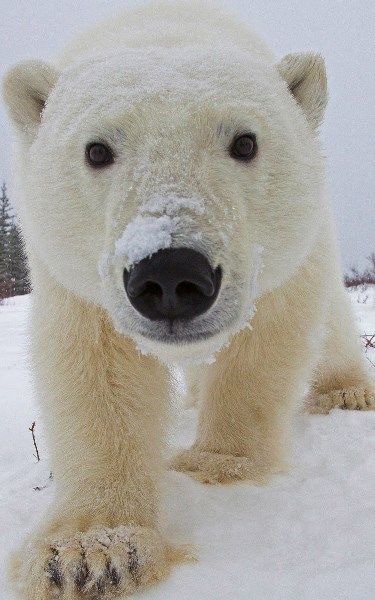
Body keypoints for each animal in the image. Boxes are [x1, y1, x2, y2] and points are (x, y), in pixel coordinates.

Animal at [2, 1, 375, 600]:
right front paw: (91, 552)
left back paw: (347, 391)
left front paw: (215, 465)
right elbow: (97, 371)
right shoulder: (75, 276)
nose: (172, 276)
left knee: (334, 324)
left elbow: (264, 344)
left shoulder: (280, 260)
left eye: (245, 141)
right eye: (96, 149)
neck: (167, 27)